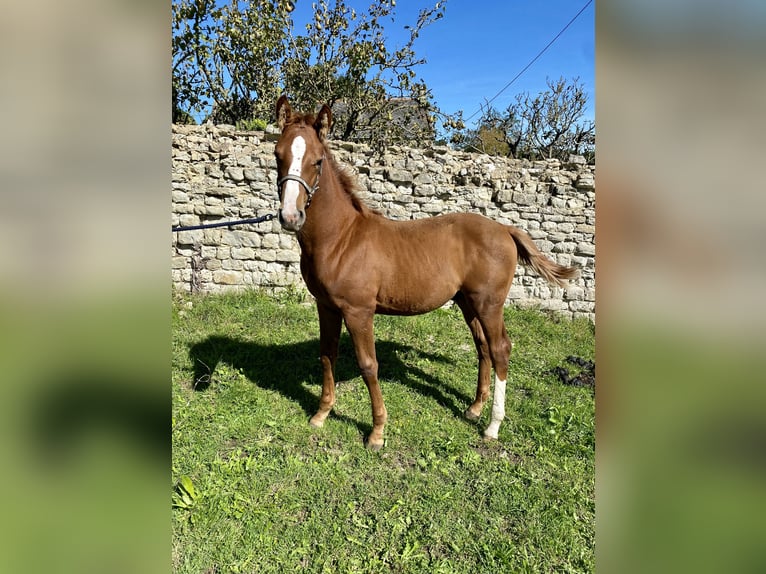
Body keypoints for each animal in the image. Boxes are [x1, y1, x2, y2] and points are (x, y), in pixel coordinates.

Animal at [272, 97, 580, 452]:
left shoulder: (359, 311)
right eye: (277, 155)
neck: (341, 238)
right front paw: (321, 414)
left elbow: (368, 365)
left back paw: (492, 426)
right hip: (467, 302)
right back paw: (474, 409)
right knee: (483, 347)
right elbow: (327, 355)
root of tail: (504, 229)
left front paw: (377, 432)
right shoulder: (327, 307)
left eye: (318, 160)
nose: (291, 216)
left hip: (490, 304)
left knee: (500, 348)